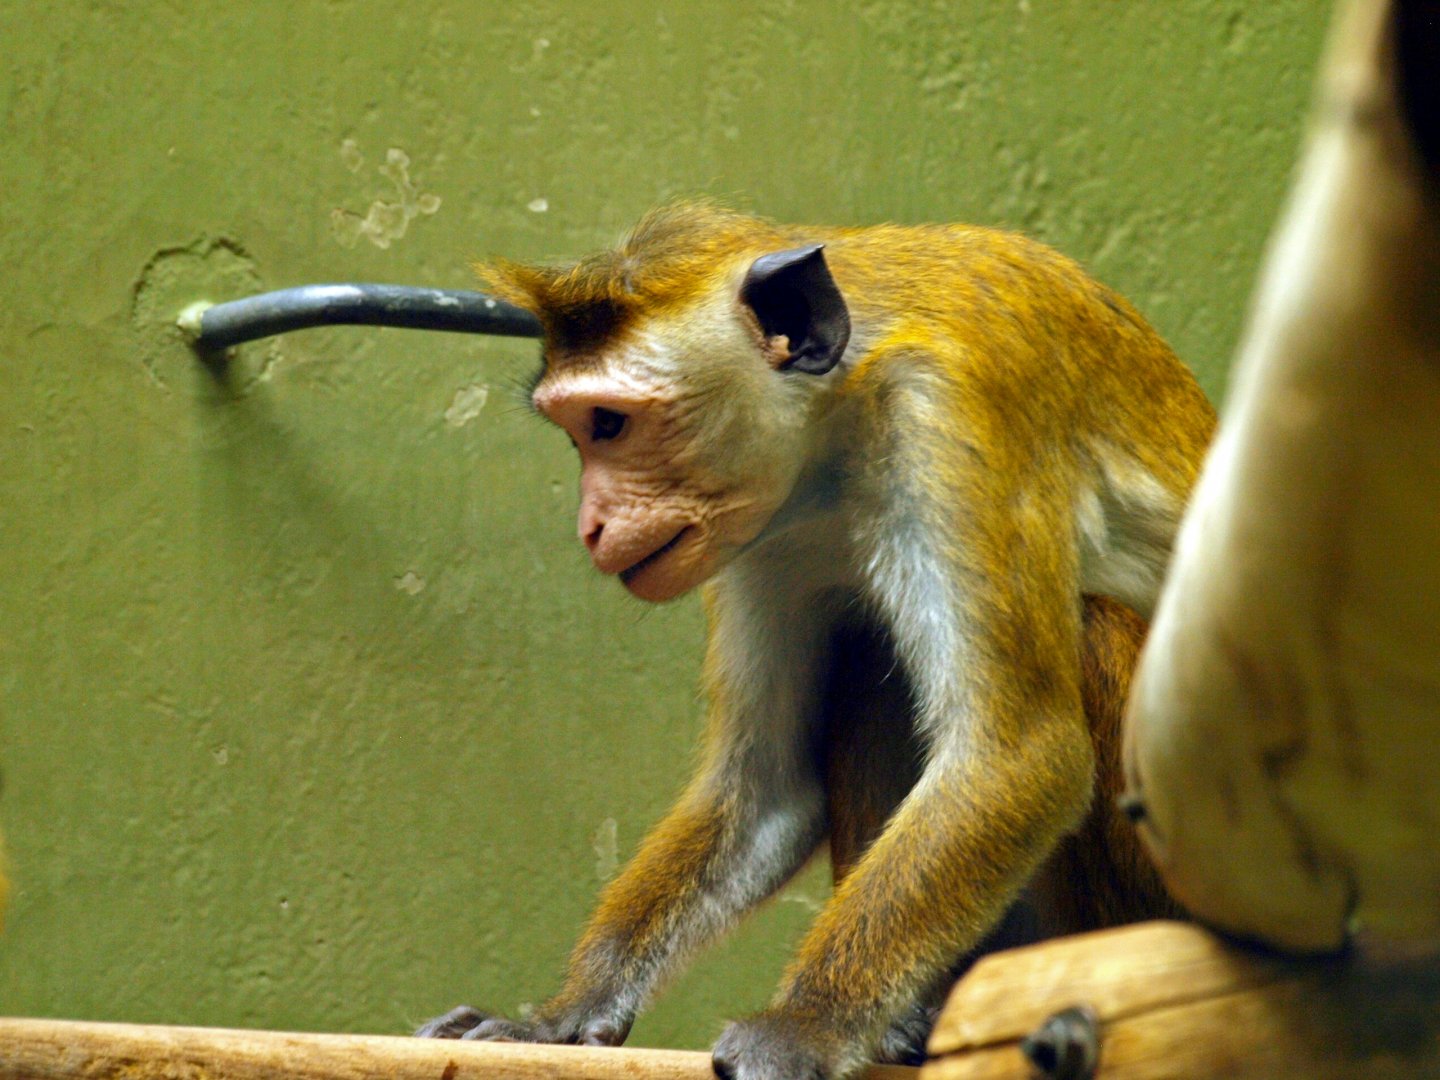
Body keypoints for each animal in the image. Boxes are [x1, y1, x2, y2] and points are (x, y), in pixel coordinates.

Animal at [416, 202, 1213, 1079]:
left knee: (1083, 627)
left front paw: (805, 1024)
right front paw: (563, 1014)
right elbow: (768, 786)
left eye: (610, 424)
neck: (842, 407)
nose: (589, 524)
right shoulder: (765, 532)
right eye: (579, 434)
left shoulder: (946, 417)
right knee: (870, 657)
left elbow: (1020, 754)